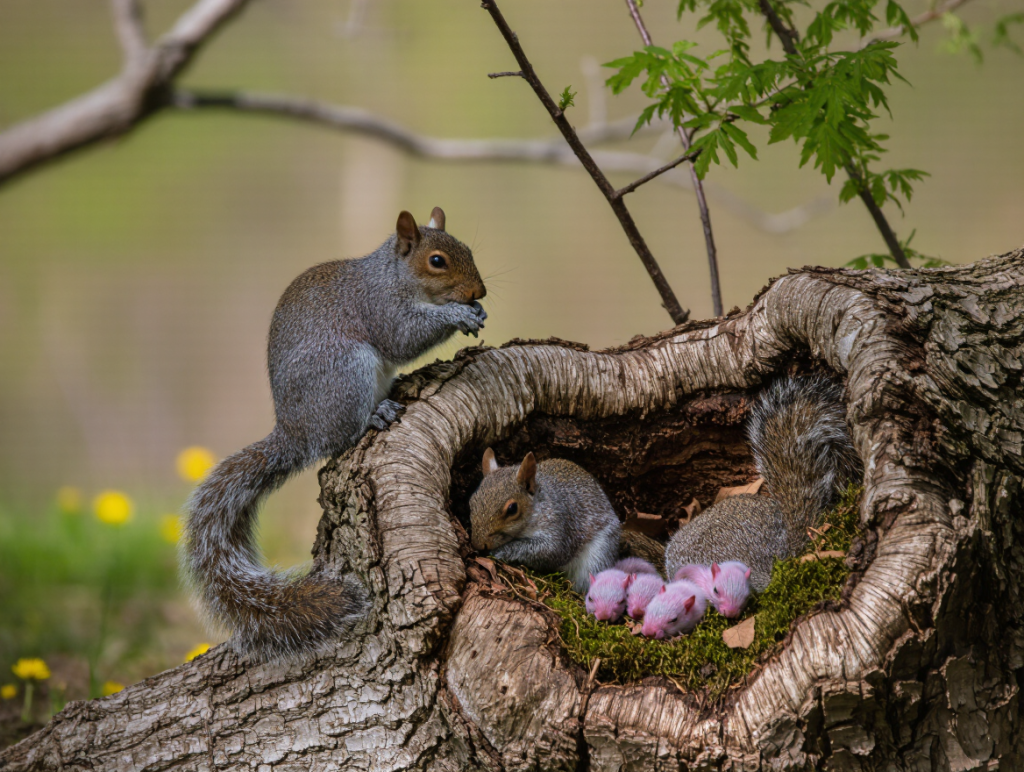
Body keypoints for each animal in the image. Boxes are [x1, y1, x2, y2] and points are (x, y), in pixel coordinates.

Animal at [183, 207, 487, 661]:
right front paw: (459, 315)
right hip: (345, 371)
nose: (478, 291)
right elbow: (404, 337)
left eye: (467, 248)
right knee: (343, 434)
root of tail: (296, 433)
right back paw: (376, 413)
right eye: (437, 261)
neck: (391, 276)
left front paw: (476, 311)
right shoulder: (381, 310)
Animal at [469, 449, 621, 593]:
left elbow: (552, 551)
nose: (478, 544)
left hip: (598, 557)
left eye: (512, 509)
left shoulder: (561, 524)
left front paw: (502, 551)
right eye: (472, 501)